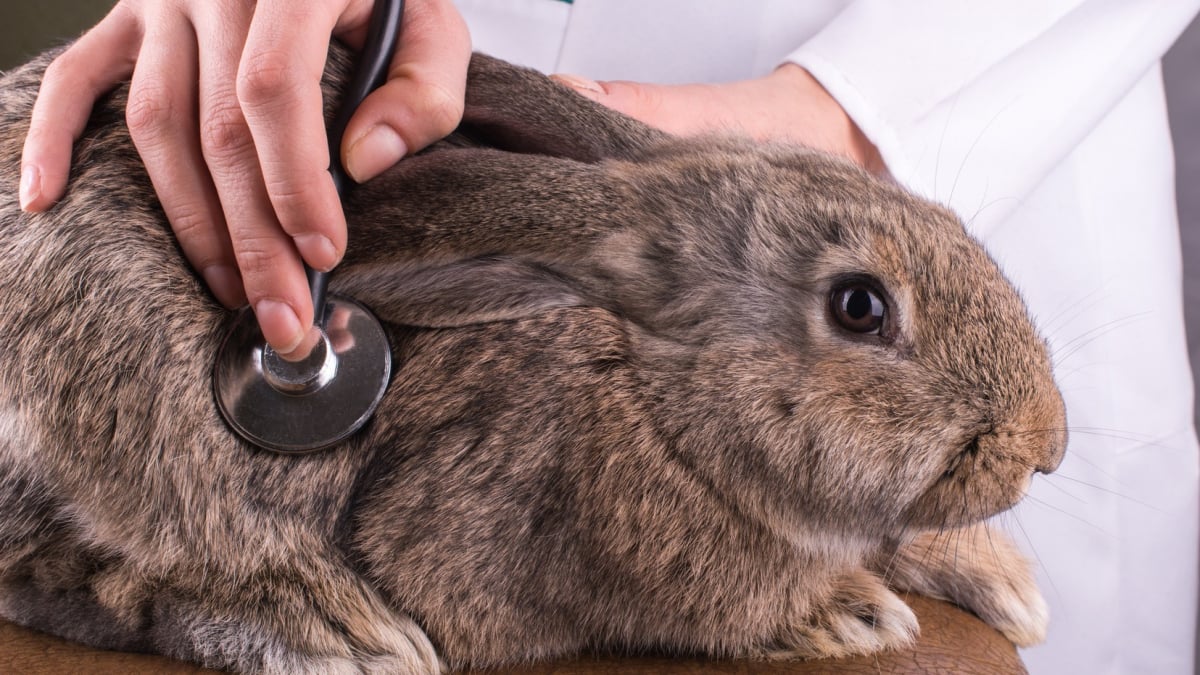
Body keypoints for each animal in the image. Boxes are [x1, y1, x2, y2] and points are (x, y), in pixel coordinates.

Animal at [0, 40, 1070, 672]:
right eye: (861, 307)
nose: (1046, 446)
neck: (653, 395)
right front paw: (848, 612)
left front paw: (1005, 585)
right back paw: (334, 629)